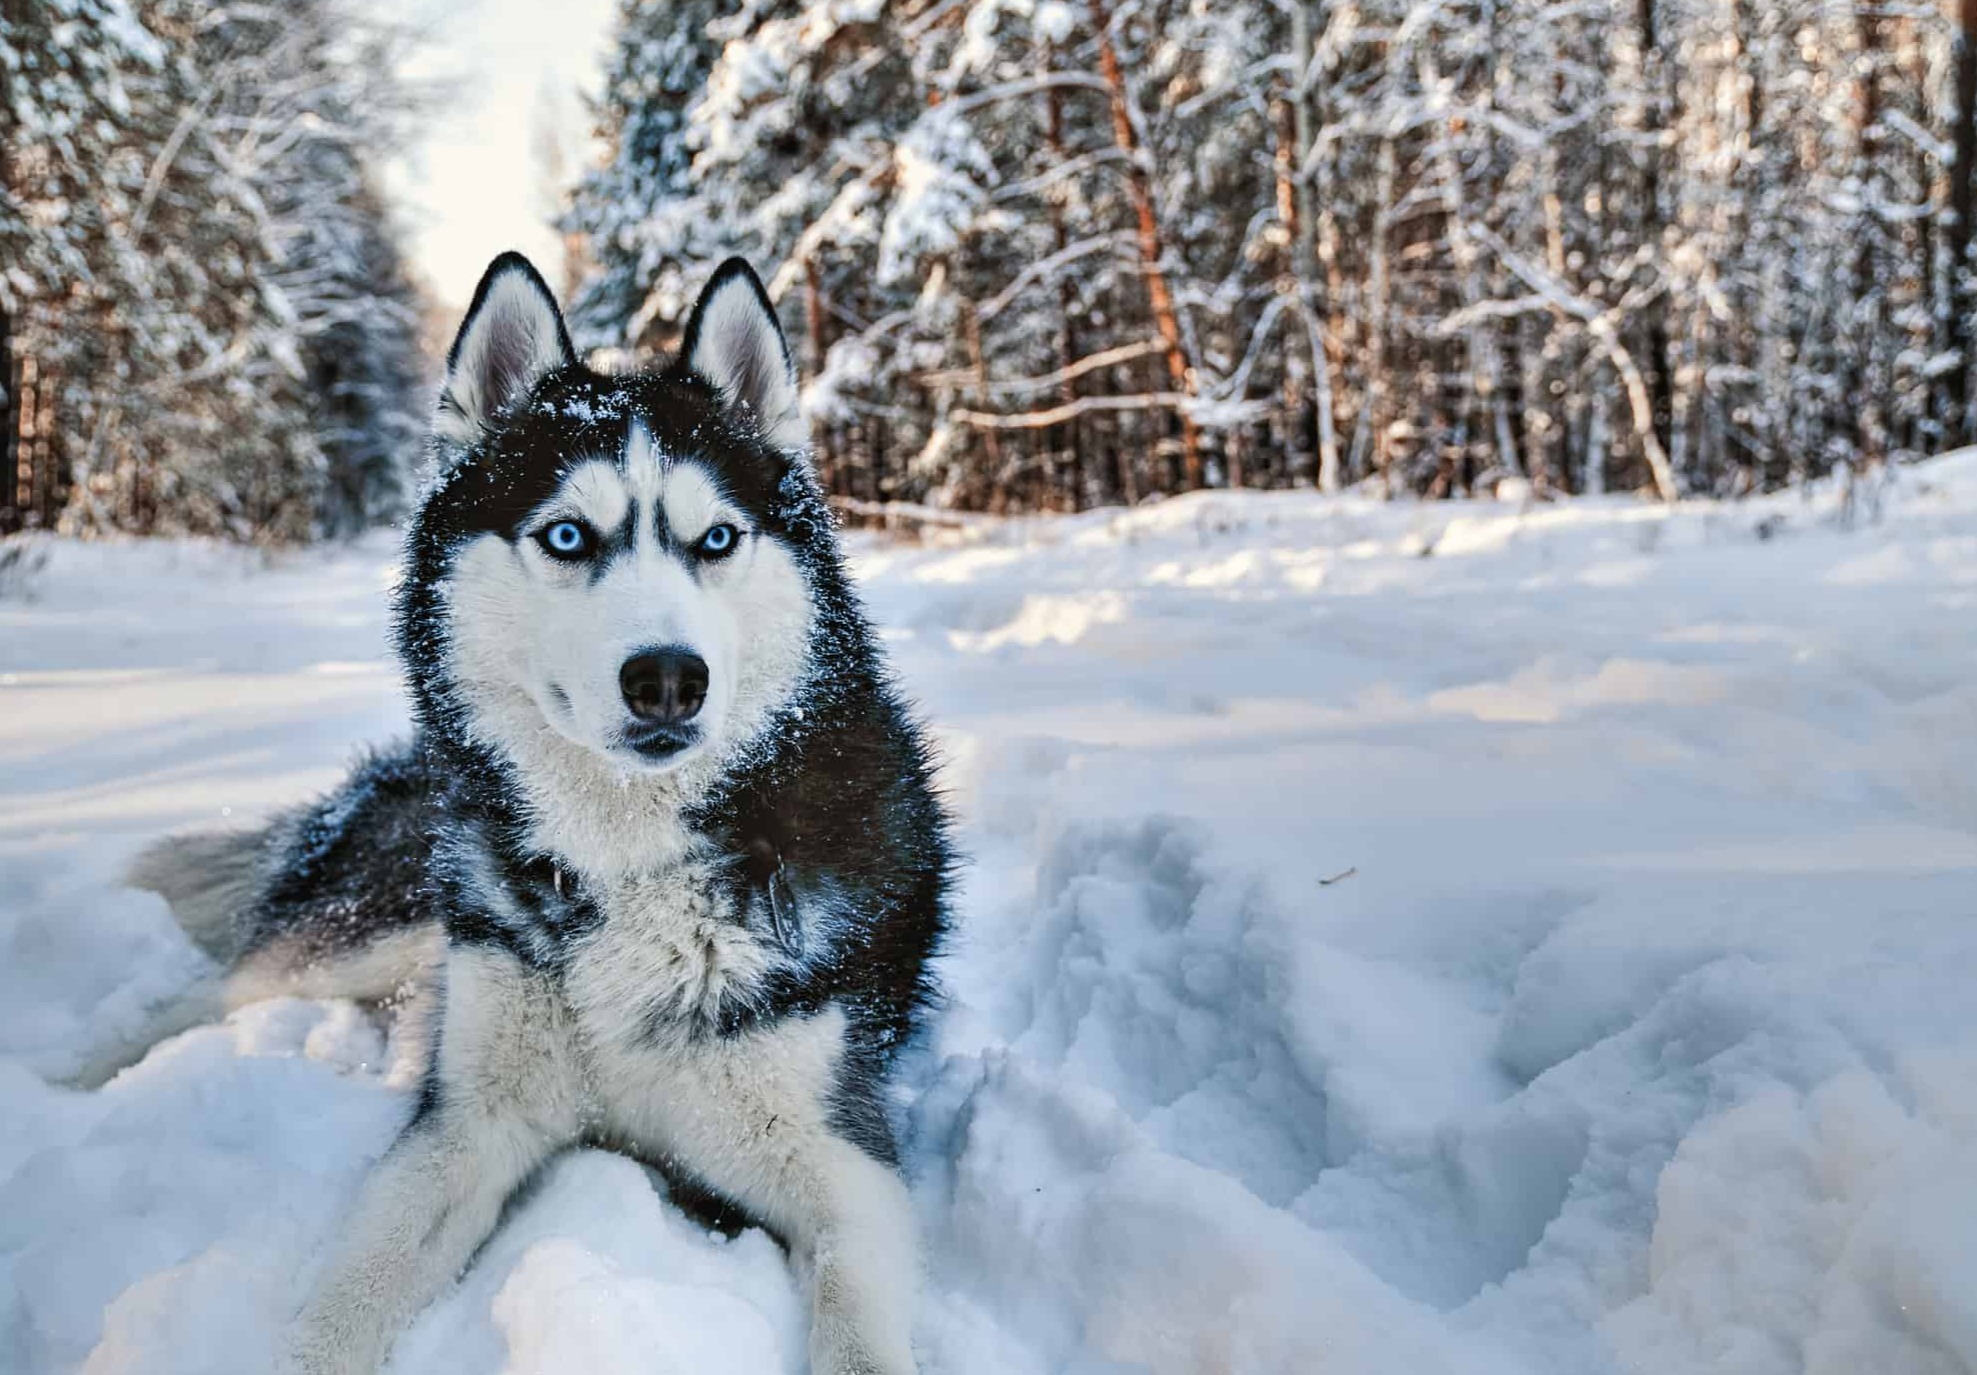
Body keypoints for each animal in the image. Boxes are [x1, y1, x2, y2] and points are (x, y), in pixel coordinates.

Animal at [90, 253, 948, 1369]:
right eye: (568, 535)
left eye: (716, 538)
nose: (668, 679)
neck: (629, 862)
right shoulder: (463, 1128)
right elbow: (341, 1308)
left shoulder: (845, 1163)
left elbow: (859, 1327)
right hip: (390, 917)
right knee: (210, 994)